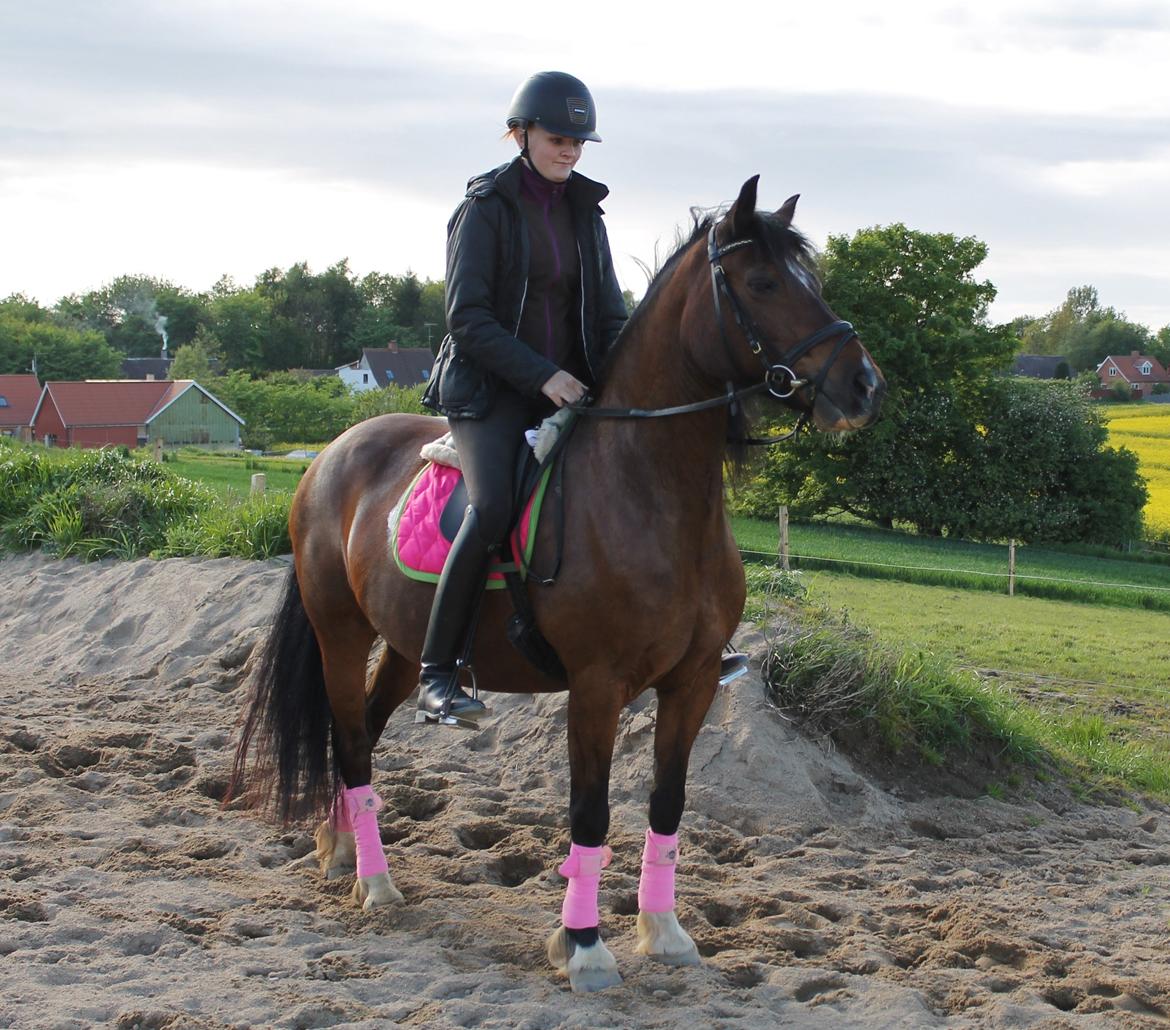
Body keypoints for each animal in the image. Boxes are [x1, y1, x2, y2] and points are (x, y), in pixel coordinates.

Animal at [229, 176, 885, 992]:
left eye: (811, 281)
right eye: (763, 282)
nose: (865, 386)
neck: (652, 493)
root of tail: (329, 455)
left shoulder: (695, 680)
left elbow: (667, 805)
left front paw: (664, 932)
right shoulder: (597, 685)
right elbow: (590, 813)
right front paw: (583, 946)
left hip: (408, 648)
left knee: (364, 734)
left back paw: (342, 849)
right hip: (340, 633)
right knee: (348, 738)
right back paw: (377, 883)